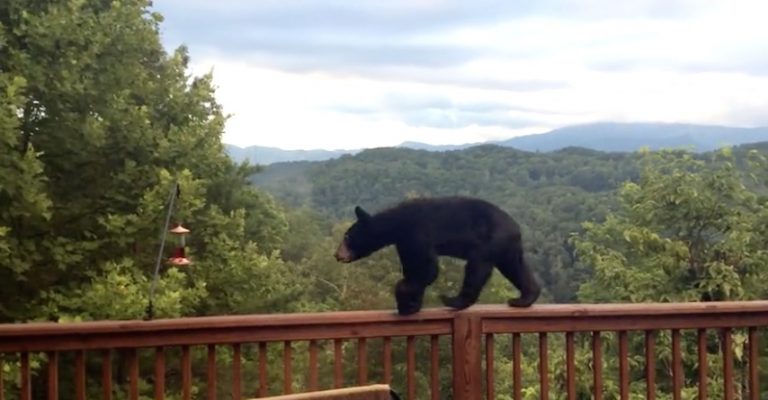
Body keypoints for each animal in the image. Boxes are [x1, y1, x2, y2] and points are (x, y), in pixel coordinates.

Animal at [334, 196, 541, 315]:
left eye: (347, 236)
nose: (337, 254)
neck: (395, 223)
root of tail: (516, 227)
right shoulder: (403, 242)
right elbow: (414, 268)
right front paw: (411, 304)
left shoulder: (415, 233)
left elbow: (426, 268)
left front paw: (405, 296)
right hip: (507, 248)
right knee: (516, 268)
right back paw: (524, 298)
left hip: (491, 240)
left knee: (477, 266)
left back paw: (454, 301)